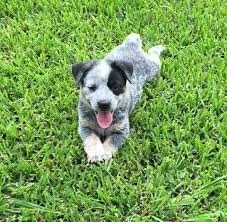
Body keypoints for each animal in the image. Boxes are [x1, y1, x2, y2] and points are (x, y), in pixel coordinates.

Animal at [72, 33, 165, 163]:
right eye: (92, 87)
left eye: (115, 87)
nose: (104, 104)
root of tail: (131, 44)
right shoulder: (85, 126)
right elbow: (92, 139)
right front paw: (96, 154)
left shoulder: (121, 131)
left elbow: (111, 142)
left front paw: (105, 154)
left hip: (152, 69)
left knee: (154, 57)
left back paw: (157, 48)